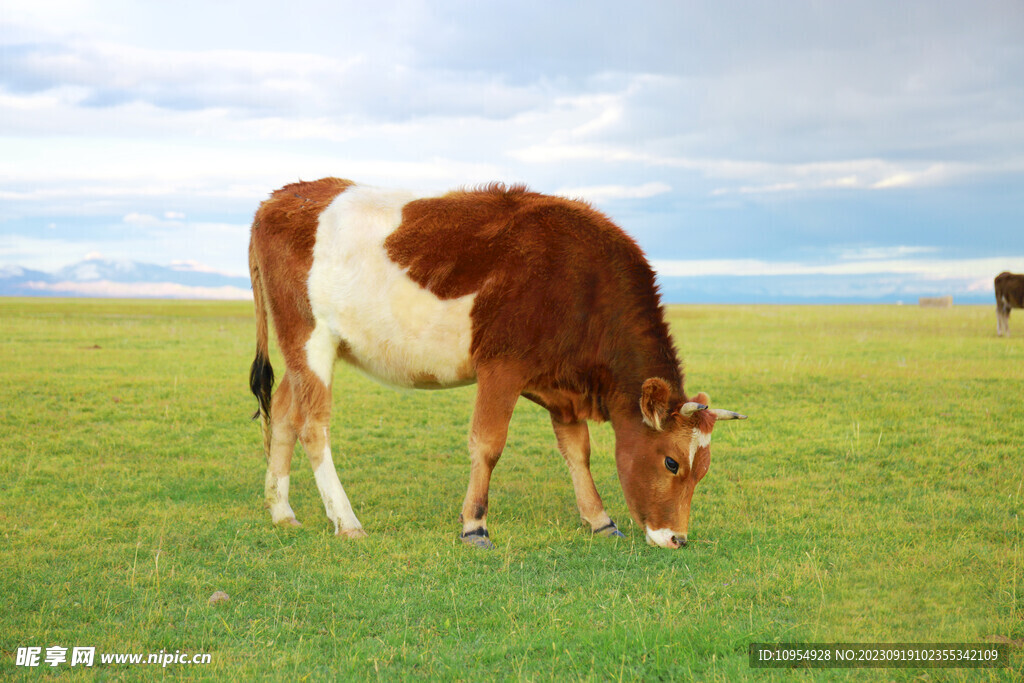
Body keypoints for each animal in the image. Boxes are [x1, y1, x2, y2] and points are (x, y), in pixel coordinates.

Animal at [247, 178, 745, 548]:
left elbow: (577, 451)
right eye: (671, 463)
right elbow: (487, 445)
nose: (678, 538)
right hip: (309, 337)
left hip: (305, 349)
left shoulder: (562, 387)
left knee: (285, 412)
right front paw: (474, 524)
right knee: (314, 425)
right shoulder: (501, 366)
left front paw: (599, 518)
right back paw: (345, 519)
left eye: (704, 469)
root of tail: (280, 197)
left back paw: (281, 510)